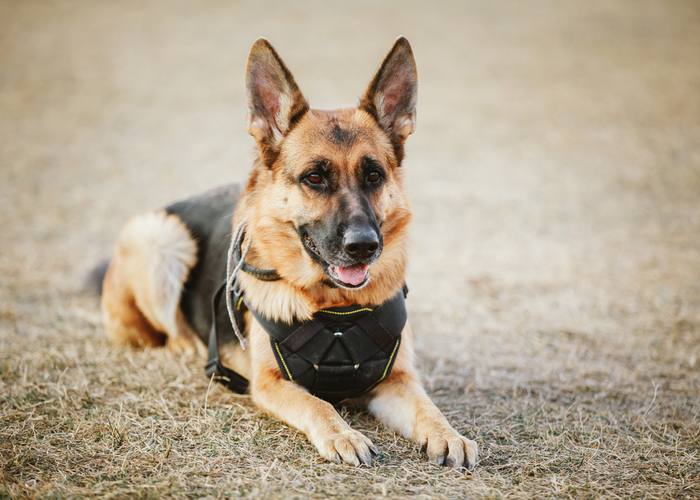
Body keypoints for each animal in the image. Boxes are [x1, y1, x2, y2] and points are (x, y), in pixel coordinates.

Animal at [100, 36, 482, 468]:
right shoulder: (269, 384)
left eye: (374, 175)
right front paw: (343, 435)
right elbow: (319, 404)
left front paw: (449, 434)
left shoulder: (398, 379)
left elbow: (427, 407)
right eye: (314, 177)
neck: (336, 308)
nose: (364, 246)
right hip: (158, 236)